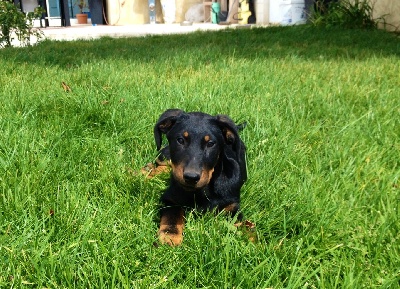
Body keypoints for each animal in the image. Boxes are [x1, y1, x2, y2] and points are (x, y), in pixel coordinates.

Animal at [153, 109, 247, 244]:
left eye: (211, 143)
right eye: (180, 140)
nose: (191, 177)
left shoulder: (232, 206)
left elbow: (234, 223)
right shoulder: (170, 198)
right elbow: (172, 214)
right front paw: (170, 235)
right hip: (164, 154)